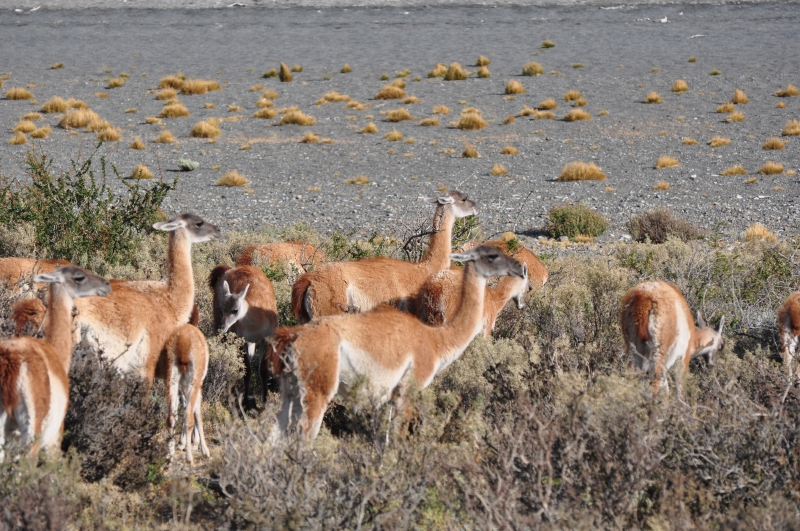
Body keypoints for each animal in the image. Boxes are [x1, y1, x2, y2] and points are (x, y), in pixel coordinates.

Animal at [0, 266, 111, 461]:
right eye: (79, 277)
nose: (106, 284)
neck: (55, 352)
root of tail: (10, 363)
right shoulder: (55, 438)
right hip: (32, 431)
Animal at [159, 324, 210, 465]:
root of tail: (184, 339)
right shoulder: (197, 385)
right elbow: (198, 414)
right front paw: (204, 450)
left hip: (172, 380)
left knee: (170, 417)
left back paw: (170, 455)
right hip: (192, 382)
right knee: (188, 416)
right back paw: (189, 458)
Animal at [209, 264, 278, 407]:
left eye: (235, 310)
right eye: (222, 309)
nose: (222, 327)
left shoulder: (266, 339)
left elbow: (263, 371)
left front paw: (265, 402)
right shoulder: (240, 338)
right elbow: (247, 371)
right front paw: (246, 402)